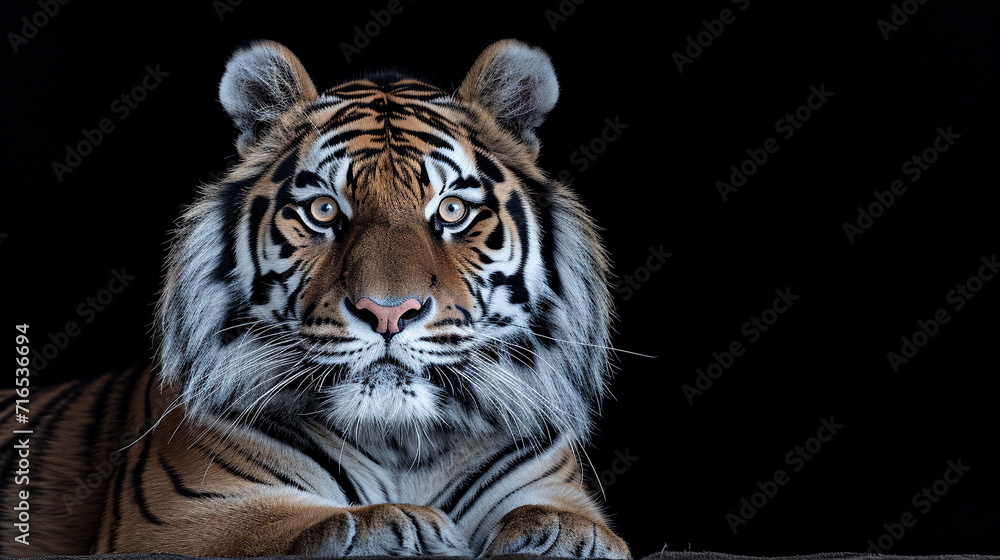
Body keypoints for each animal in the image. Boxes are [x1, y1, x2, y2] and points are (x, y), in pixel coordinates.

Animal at [1, 39, 629, 558]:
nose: (388, 312)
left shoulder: (551, 483)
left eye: (451, 210)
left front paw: (563, 536)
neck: (400, 442)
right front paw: (394, 525)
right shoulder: (177, 516)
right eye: (323, 210)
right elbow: (282, 528)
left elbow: (568, 519)